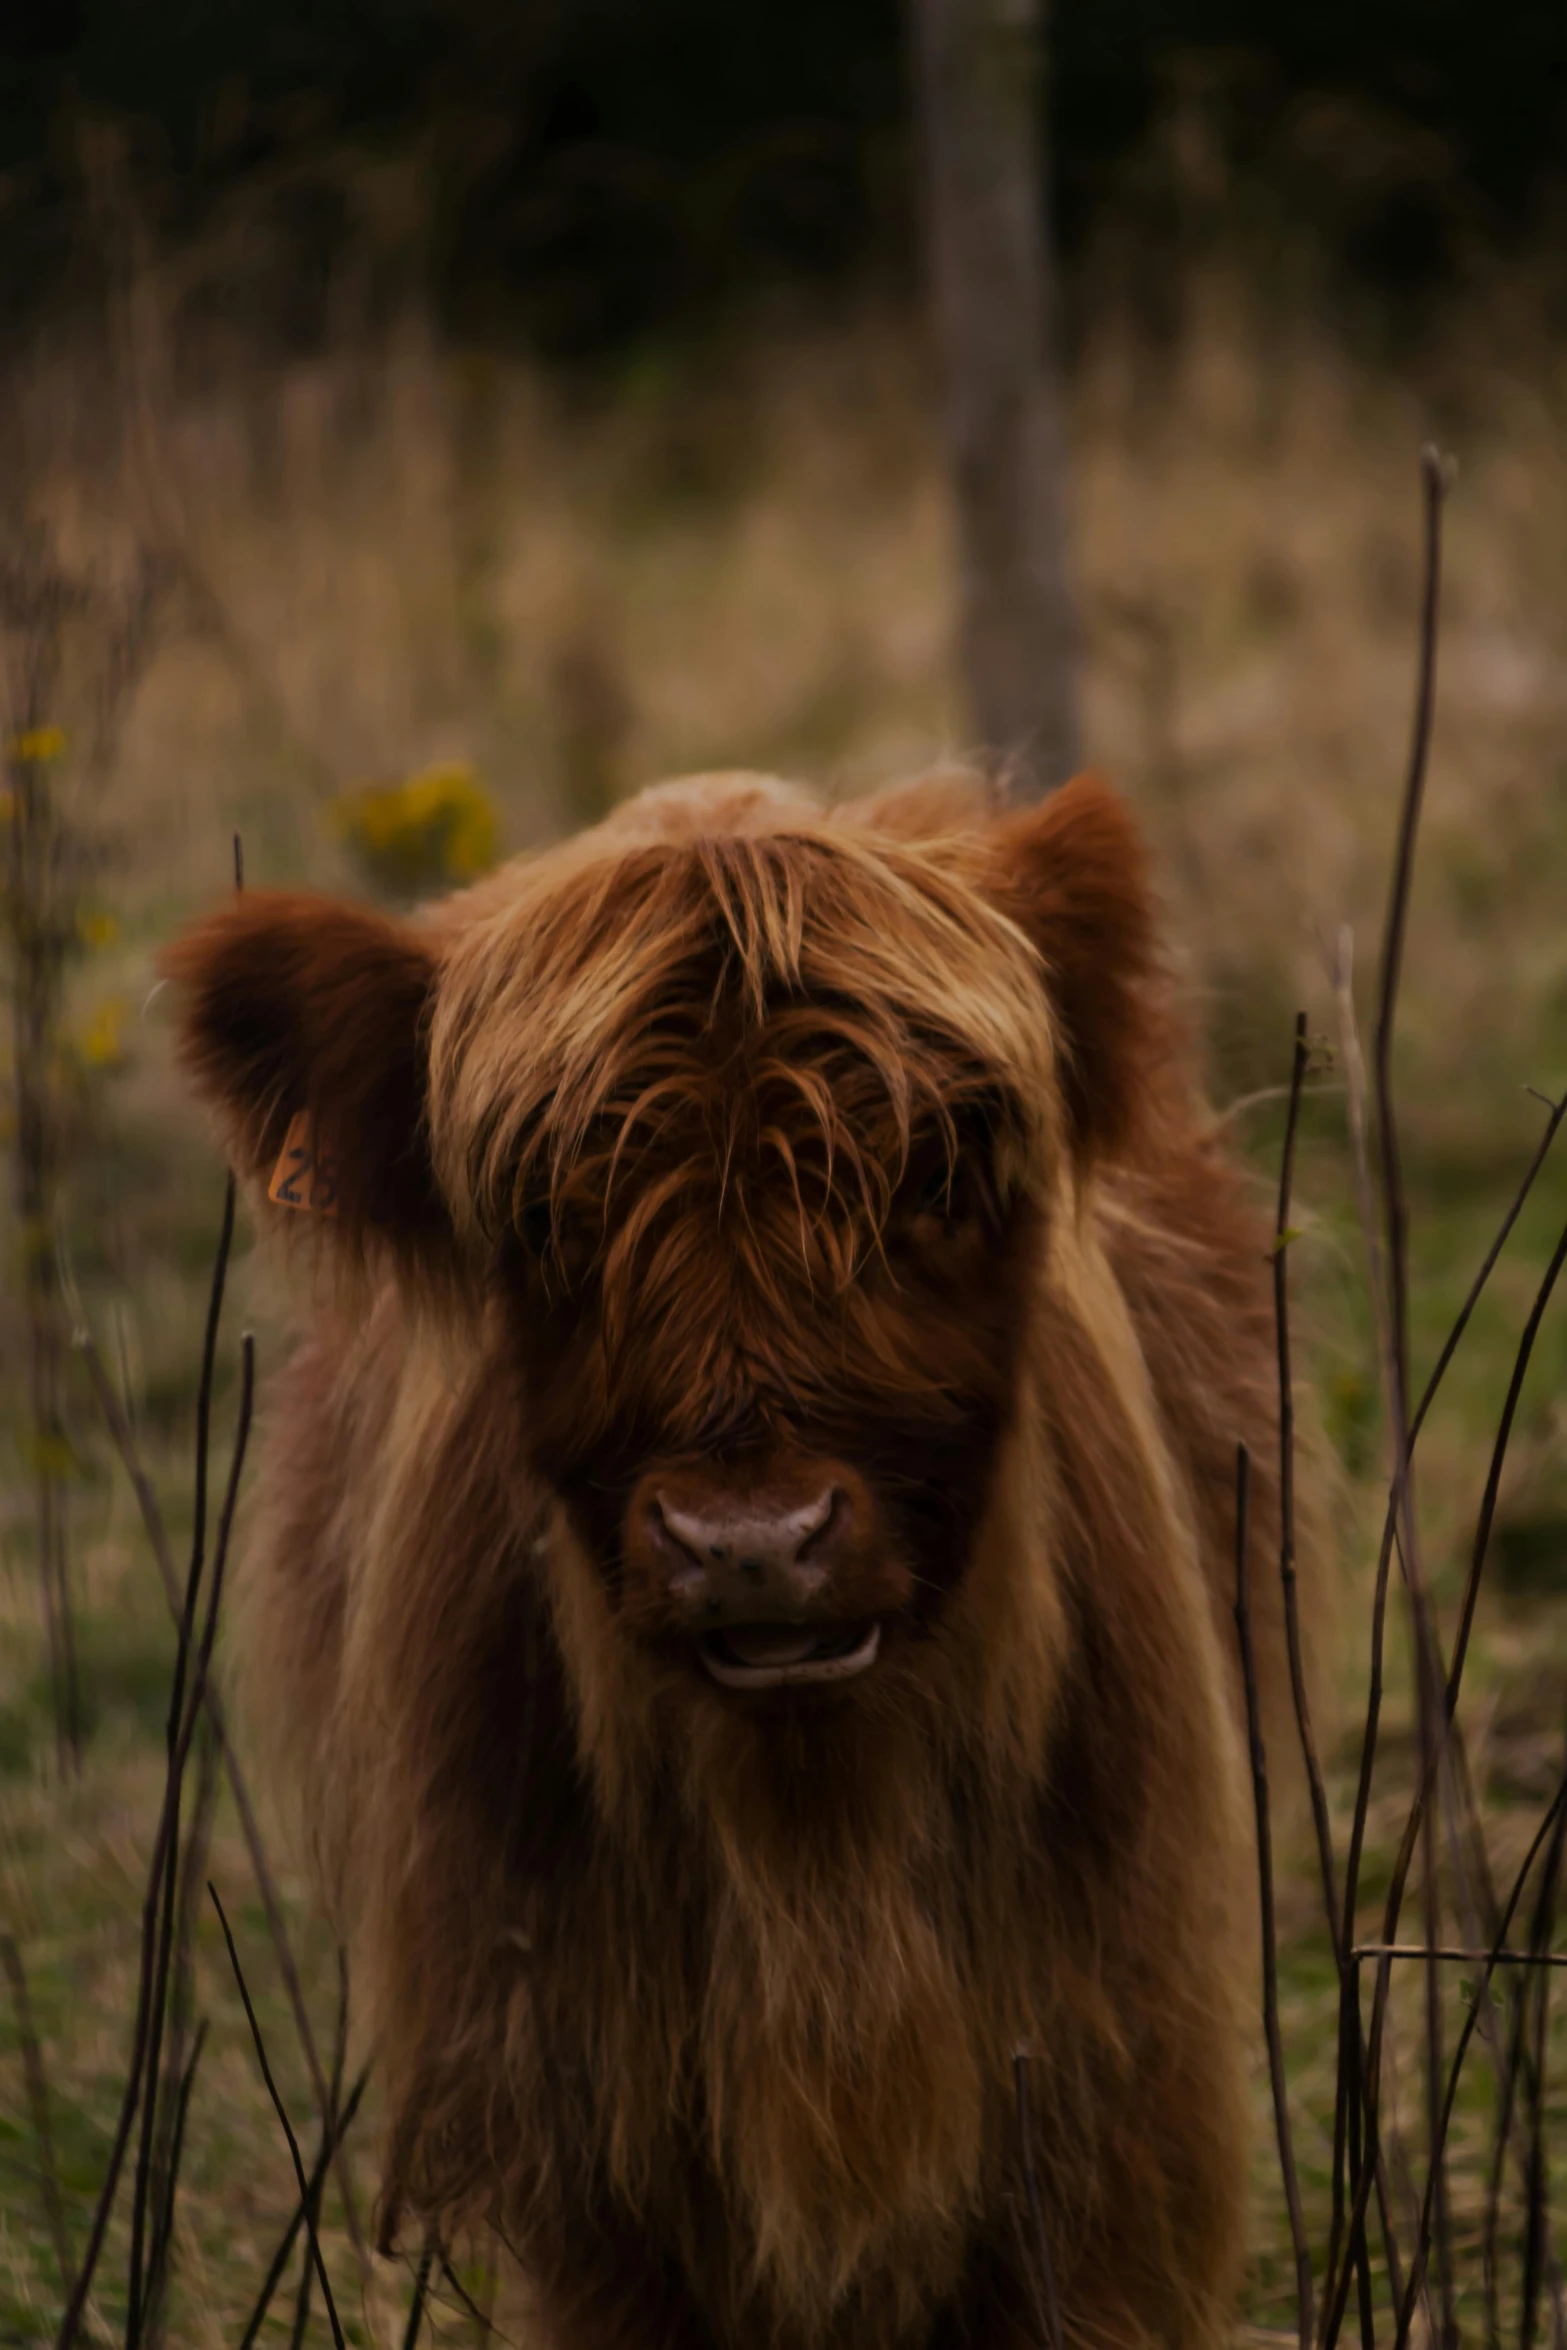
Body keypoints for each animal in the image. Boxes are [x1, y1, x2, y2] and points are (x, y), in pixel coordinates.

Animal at [162, 775, 1315, 2350]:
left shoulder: (1116, 2105)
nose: (753, 1543)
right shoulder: (584, 2150)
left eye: (937, 1175)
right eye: (543, 1215)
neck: (813, 1851)